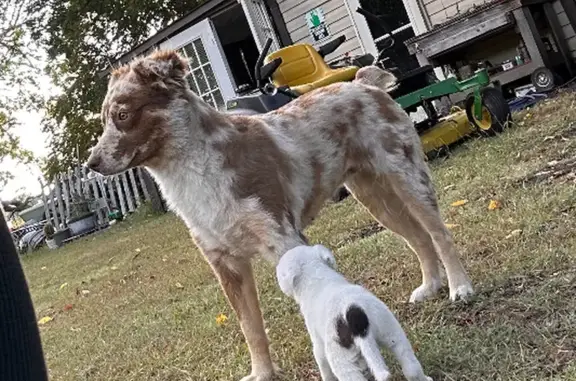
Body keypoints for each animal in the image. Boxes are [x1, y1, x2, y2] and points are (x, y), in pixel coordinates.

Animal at [278, 245, 432, 378]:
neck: (316, 277)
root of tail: (354, 315)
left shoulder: (317, 344)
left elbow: (323, 366)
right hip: (392, 332)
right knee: (411, 368)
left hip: (342, 361)